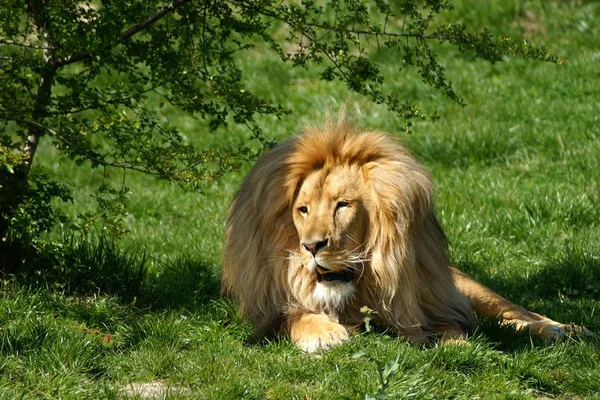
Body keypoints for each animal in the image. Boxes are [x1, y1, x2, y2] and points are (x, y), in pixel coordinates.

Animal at [221, 117, 592, 352]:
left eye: (342, 205)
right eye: (303, 210)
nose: (311, 246)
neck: (358, 289)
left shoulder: (425, 303)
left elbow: (449, 327)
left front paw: (454, 344)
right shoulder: (273, 310)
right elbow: (299, 316)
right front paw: (325, 334)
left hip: (463, 287)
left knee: (514, 312)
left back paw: (563, 329)